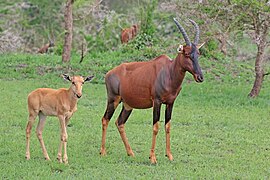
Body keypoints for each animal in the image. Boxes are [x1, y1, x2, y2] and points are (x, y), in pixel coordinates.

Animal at [100, 17, 205, 163]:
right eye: (187, 54)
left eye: (198, 53)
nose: (200, 77)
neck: (168, 71)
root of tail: (109, 73)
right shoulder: (157, 102)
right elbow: (155, 127)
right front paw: (153, 158)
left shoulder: (170, 103)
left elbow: (168, 126)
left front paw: (169, 155)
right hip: (113, 100)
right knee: (105, 119)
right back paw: (103, 152)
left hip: (127, 105)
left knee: (119, 122)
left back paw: (131, 153)